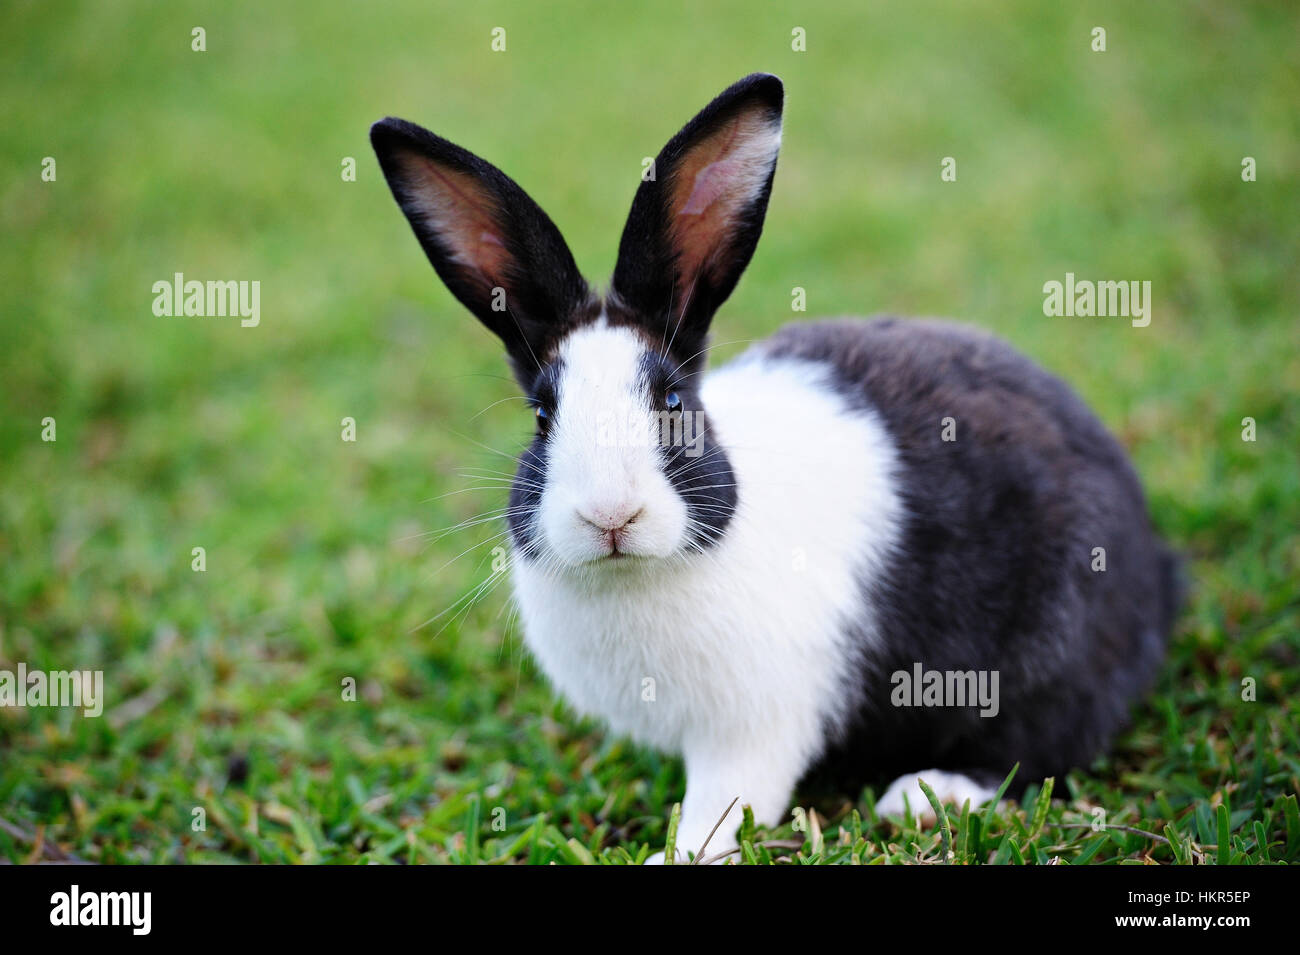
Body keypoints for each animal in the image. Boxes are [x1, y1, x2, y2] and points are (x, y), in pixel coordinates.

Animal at [370, 72, 1181, 863]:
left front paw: (681, 856)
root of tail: (1155, 565)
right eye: (543, 414)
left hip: (1050, 650)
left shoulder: (754, 728)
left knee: (1039, 745)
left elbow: (726, 802)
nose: (611, 515)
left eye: (672, 400)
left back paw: (927, 796)